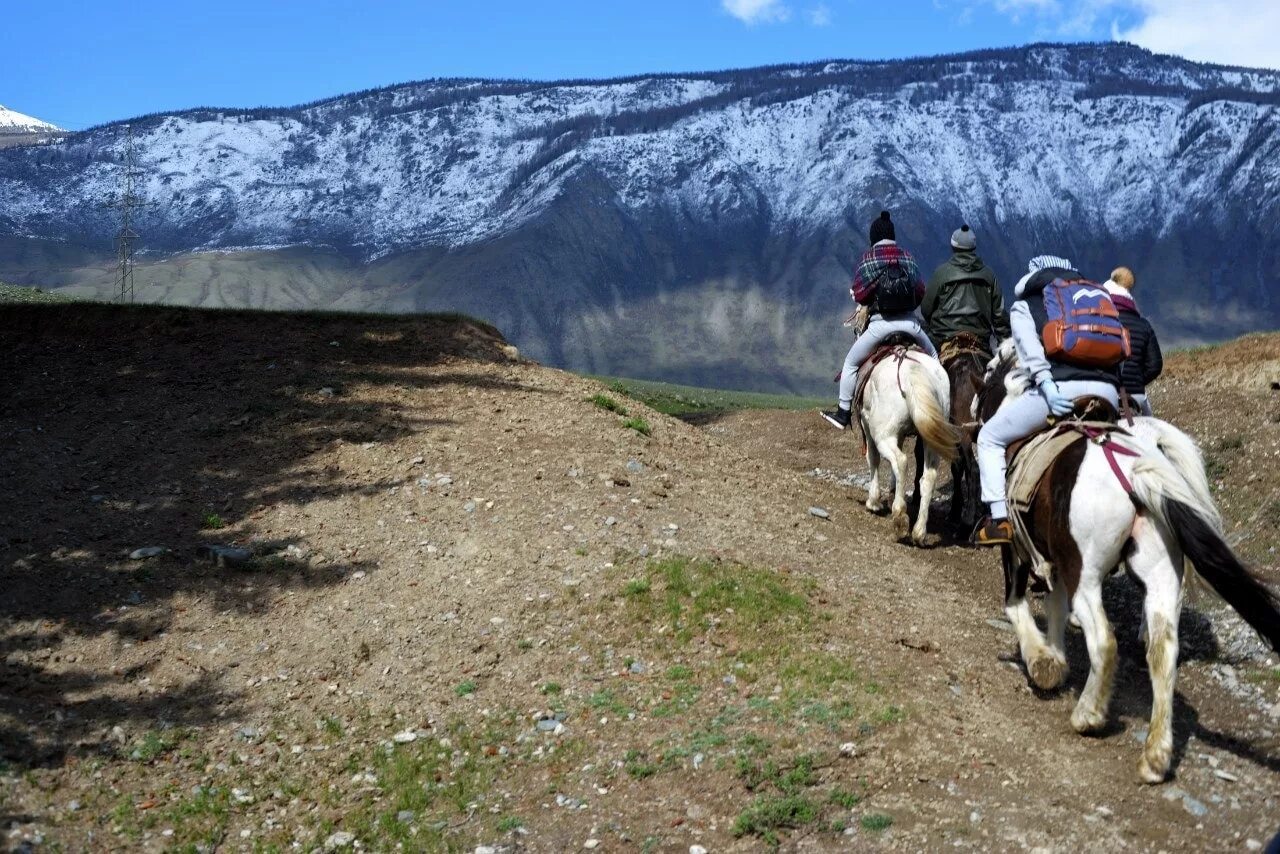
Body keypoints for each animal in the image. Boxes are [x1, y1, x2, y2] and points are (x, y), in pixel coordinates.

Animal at [860, 338, 962, 545]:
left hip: (883, 434)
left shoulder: (866, 423)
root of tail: (911, 371)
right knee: (929, 476)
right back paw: (919, 532)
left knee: (900, 461)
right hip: (931, 437)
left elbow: (873, 458)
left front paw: (873, 502)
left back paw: (899, 517)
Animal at [977, 343, 1280, 783]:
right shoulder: (1058, 561)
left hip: (1088, 575)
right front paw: (1056, 657)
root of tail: (1137, 470)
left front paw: (1042, 662)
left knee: (1104, 640)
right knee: (1163, 650)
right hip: (1159, 573)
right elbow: (1054, 606)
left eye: (988, 373)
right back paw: (1155, 756)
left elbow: (1016, 605)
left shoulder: (1021, 550)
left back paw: (1088, 714)